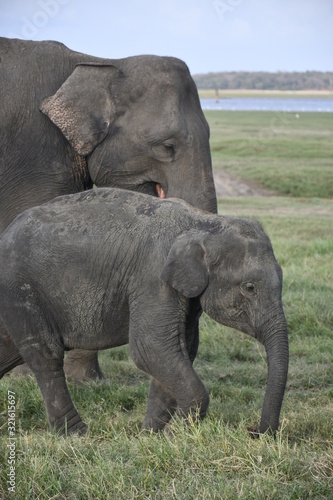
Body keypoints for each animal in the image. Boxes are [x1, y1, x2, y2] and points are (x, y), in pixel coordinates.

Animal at [0, 188, 288, 434]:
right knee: (45, 354)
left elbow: (179, 349)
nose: (255, 432)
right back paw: (75, 434)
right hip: (20, 289)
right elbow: (152, 347)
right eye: (249, 288)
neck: (203, 223)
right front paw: (176, 435)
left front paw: (152, 436)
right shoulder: (152, 276)